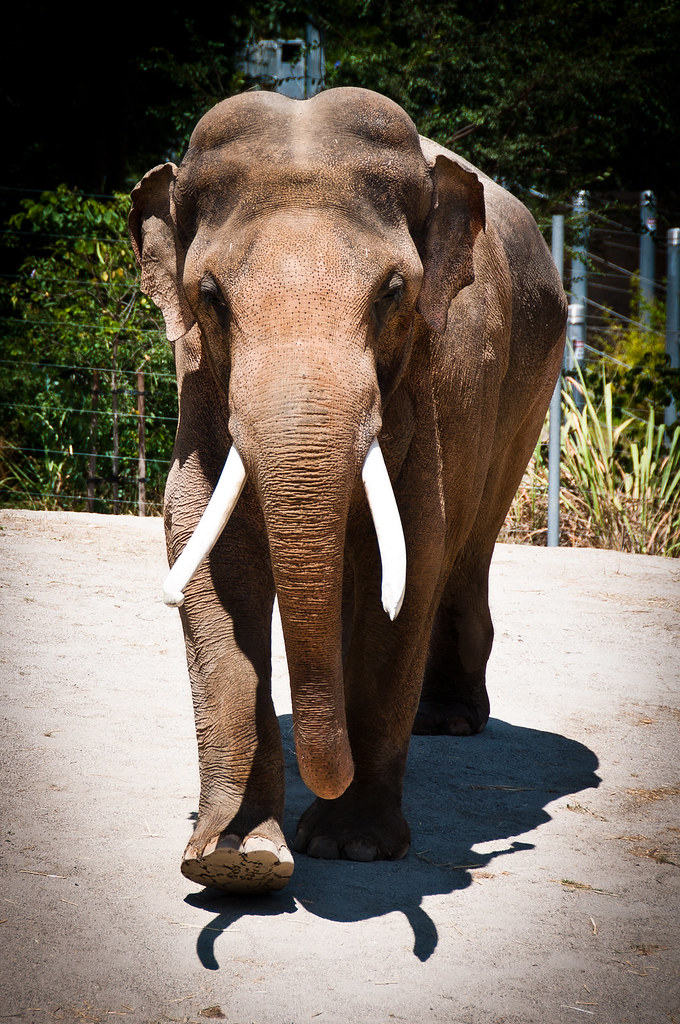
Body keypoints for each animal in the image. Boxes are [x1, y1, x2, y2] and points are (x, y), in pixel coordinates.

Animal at [129, 86, 567, 894]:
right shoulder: (198, 376)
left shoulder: (427, 378)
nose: (325, 779)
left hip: (531, 383)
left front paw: (350, 846)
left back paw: (448, 721)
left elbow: (416, 552)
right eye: (209, 295)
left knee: (466, 548)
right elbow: (205, 549)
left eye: (393, 292)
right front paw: (237, 859)